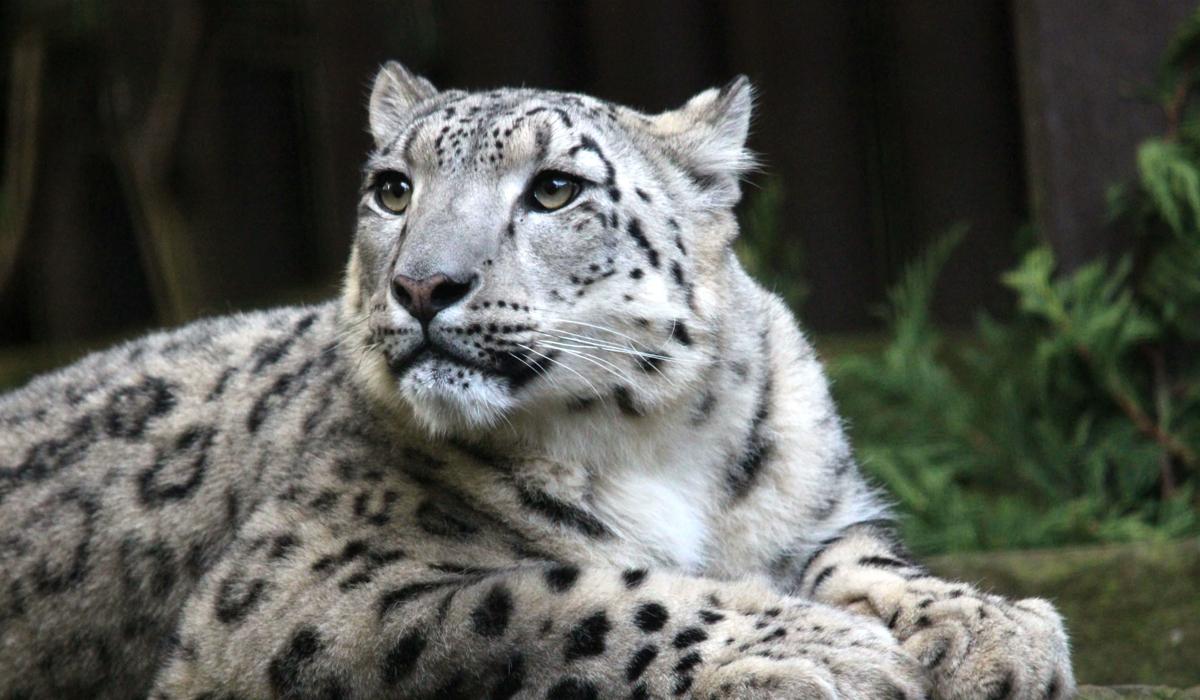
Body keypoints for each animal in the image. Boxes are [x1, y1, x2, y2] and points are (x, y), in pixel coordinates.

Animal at [0, 61, 1070, 700]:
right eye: (393, 188)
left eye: (555, 187)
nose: (423, 284)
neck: (659, 447)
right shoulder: (296, 588)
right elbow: (570, 592)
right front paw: (819, 648)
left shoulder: (816, 511)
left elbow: (867, 562)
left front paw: (993, 631)